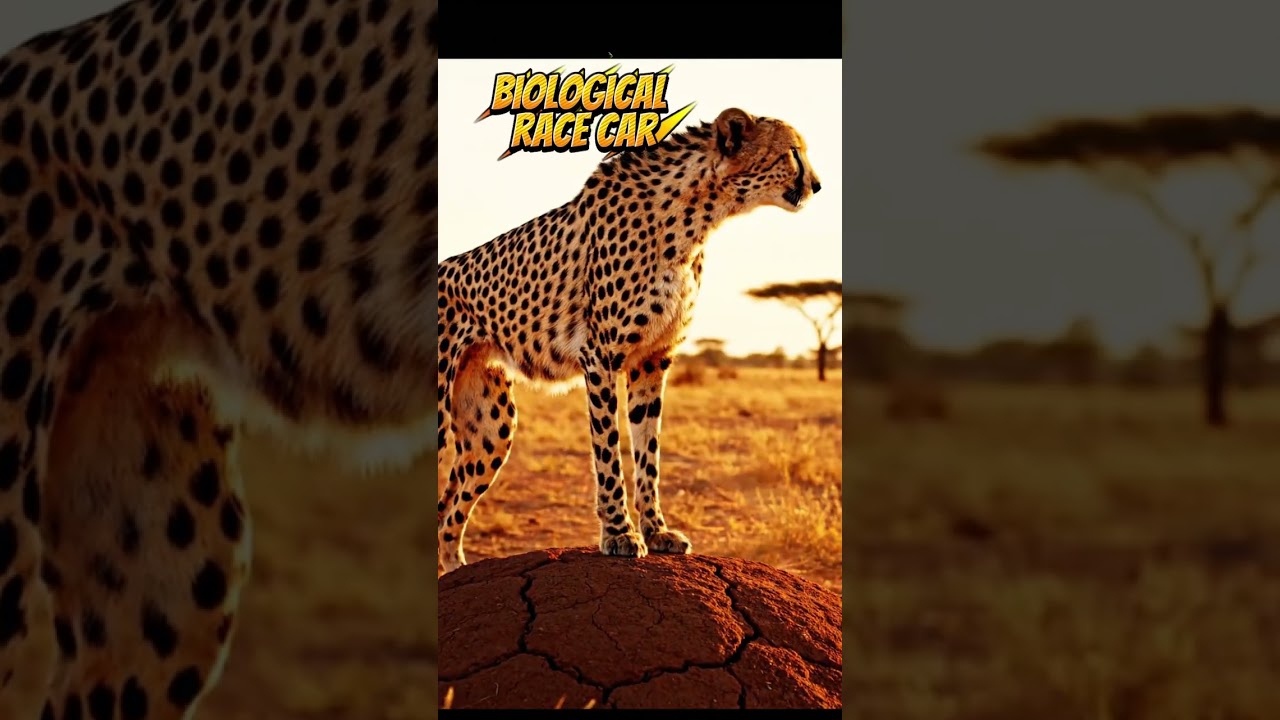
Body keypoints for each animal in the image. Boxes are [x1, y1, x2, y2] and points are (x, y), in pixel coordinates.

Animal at [436, 107, 822, 575]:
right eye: (793, 153)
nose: (817, 185)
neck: (696, 213)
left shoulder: (653, 359)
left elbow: (647, 451)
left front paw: (656, 531)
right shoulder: (600, 356)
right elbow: (608, 450)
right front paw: (620, 533)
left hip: (492, 428)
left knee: (448, 508)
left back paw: (455, 569)